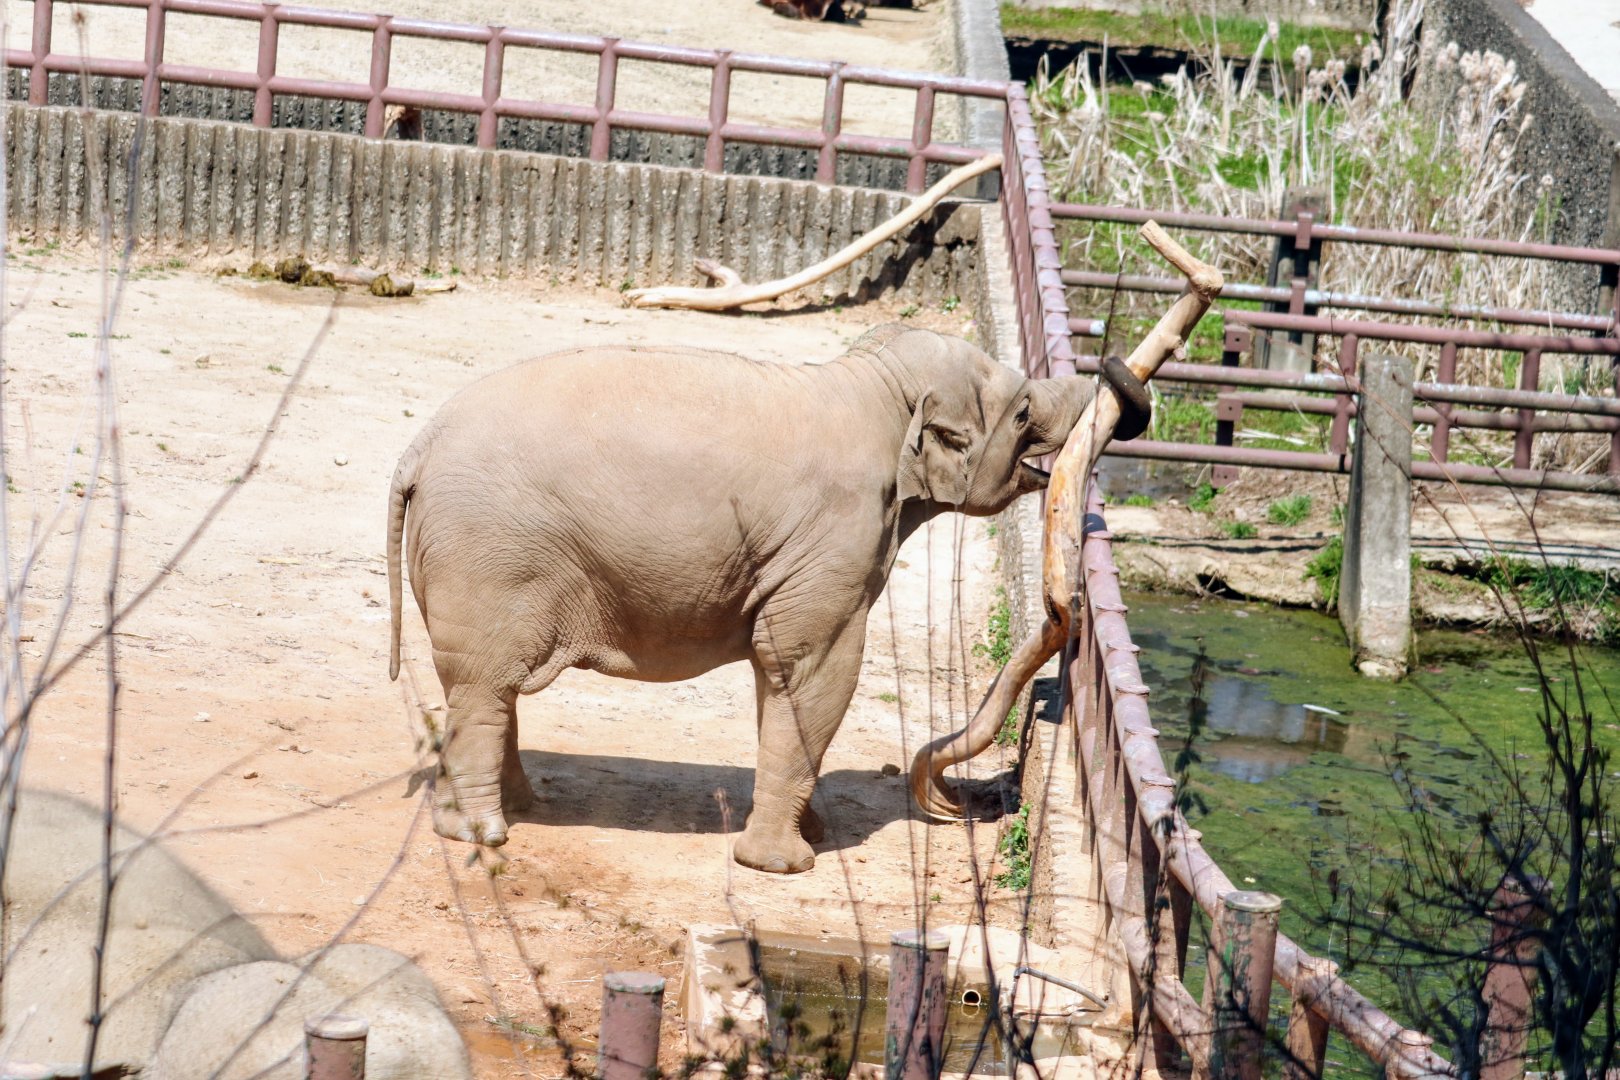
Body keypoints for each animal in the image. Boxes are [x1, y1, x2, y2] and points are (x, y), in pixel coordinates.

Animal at [387, 324, 1148, 873]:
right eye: (1021, 414)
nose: (1115, 375)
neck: (872, 385)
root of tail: (417, 448)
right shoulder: (834, 541)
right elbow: (812, 669)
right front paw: (786, 864)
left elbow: (778, 675)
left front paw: (813, 829)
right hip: (489, 554)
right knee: (485, 686)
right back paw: (483, 832)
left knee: (488, 686)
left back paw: (520, 803)